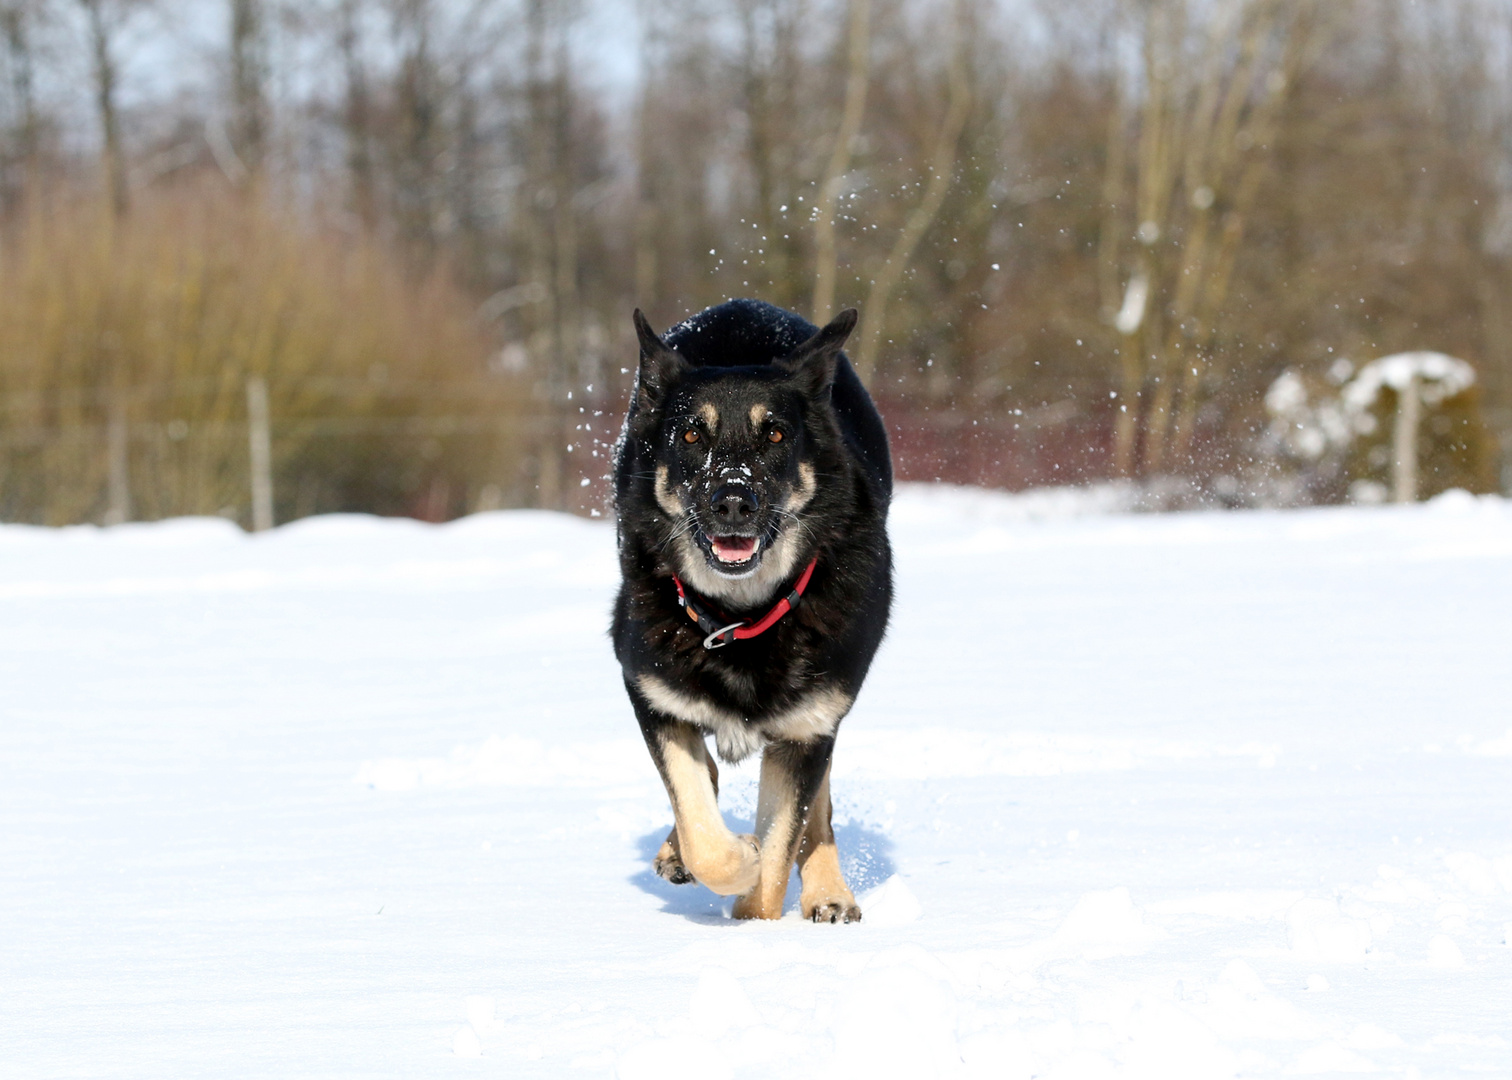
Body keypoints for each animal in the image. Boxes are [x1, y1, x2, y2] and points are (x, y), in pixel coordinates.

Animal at [610, 296, 889, 919]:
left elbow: (785, 840)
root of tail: (746, 306)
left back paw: (829, 891)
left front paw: (756, 922)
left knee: (820, 811)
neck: (740, 617)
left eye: (776, 433)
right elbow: (703, 825)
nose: (733, 500)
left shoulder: (810, 726)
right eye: (692, 435)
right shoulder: (652, 692)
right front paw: (735, 858)